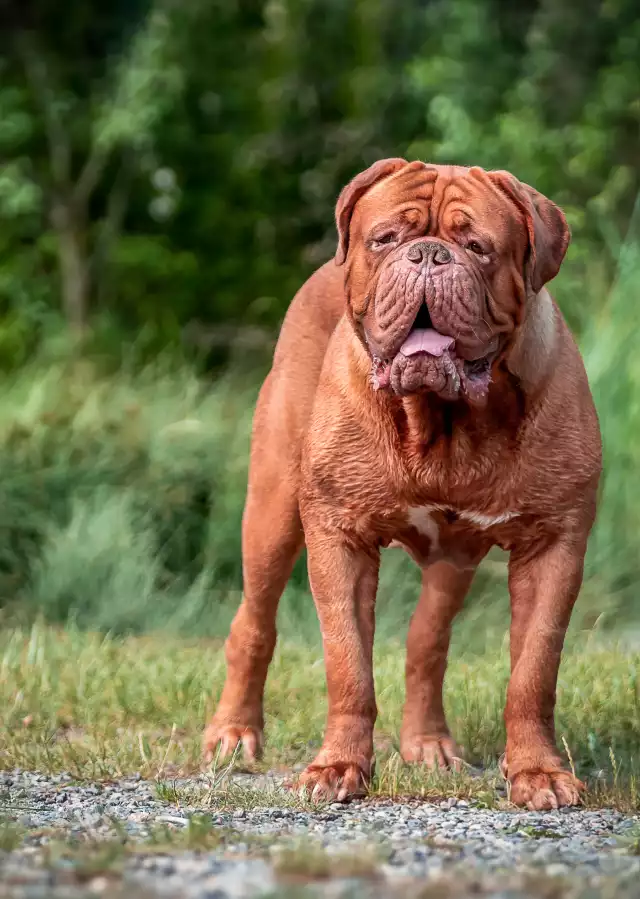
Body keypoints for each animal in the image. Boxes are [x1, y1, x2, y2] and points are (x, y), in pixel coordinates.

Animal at [204, 158, 600, 812]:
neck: (442, 420)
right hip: (273, 511)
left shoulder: (555, 543)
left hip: (453, 560)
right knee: (253, 622)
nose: (428, 255)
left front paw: (538, 773)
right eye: (386, 238)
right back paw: (234, 734)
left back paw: (429, 745)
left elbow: (534, 672)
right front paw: (336, 768)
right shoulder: (338, 536)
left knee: (427, 642)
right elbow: (347, 665)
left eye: (478, 247)